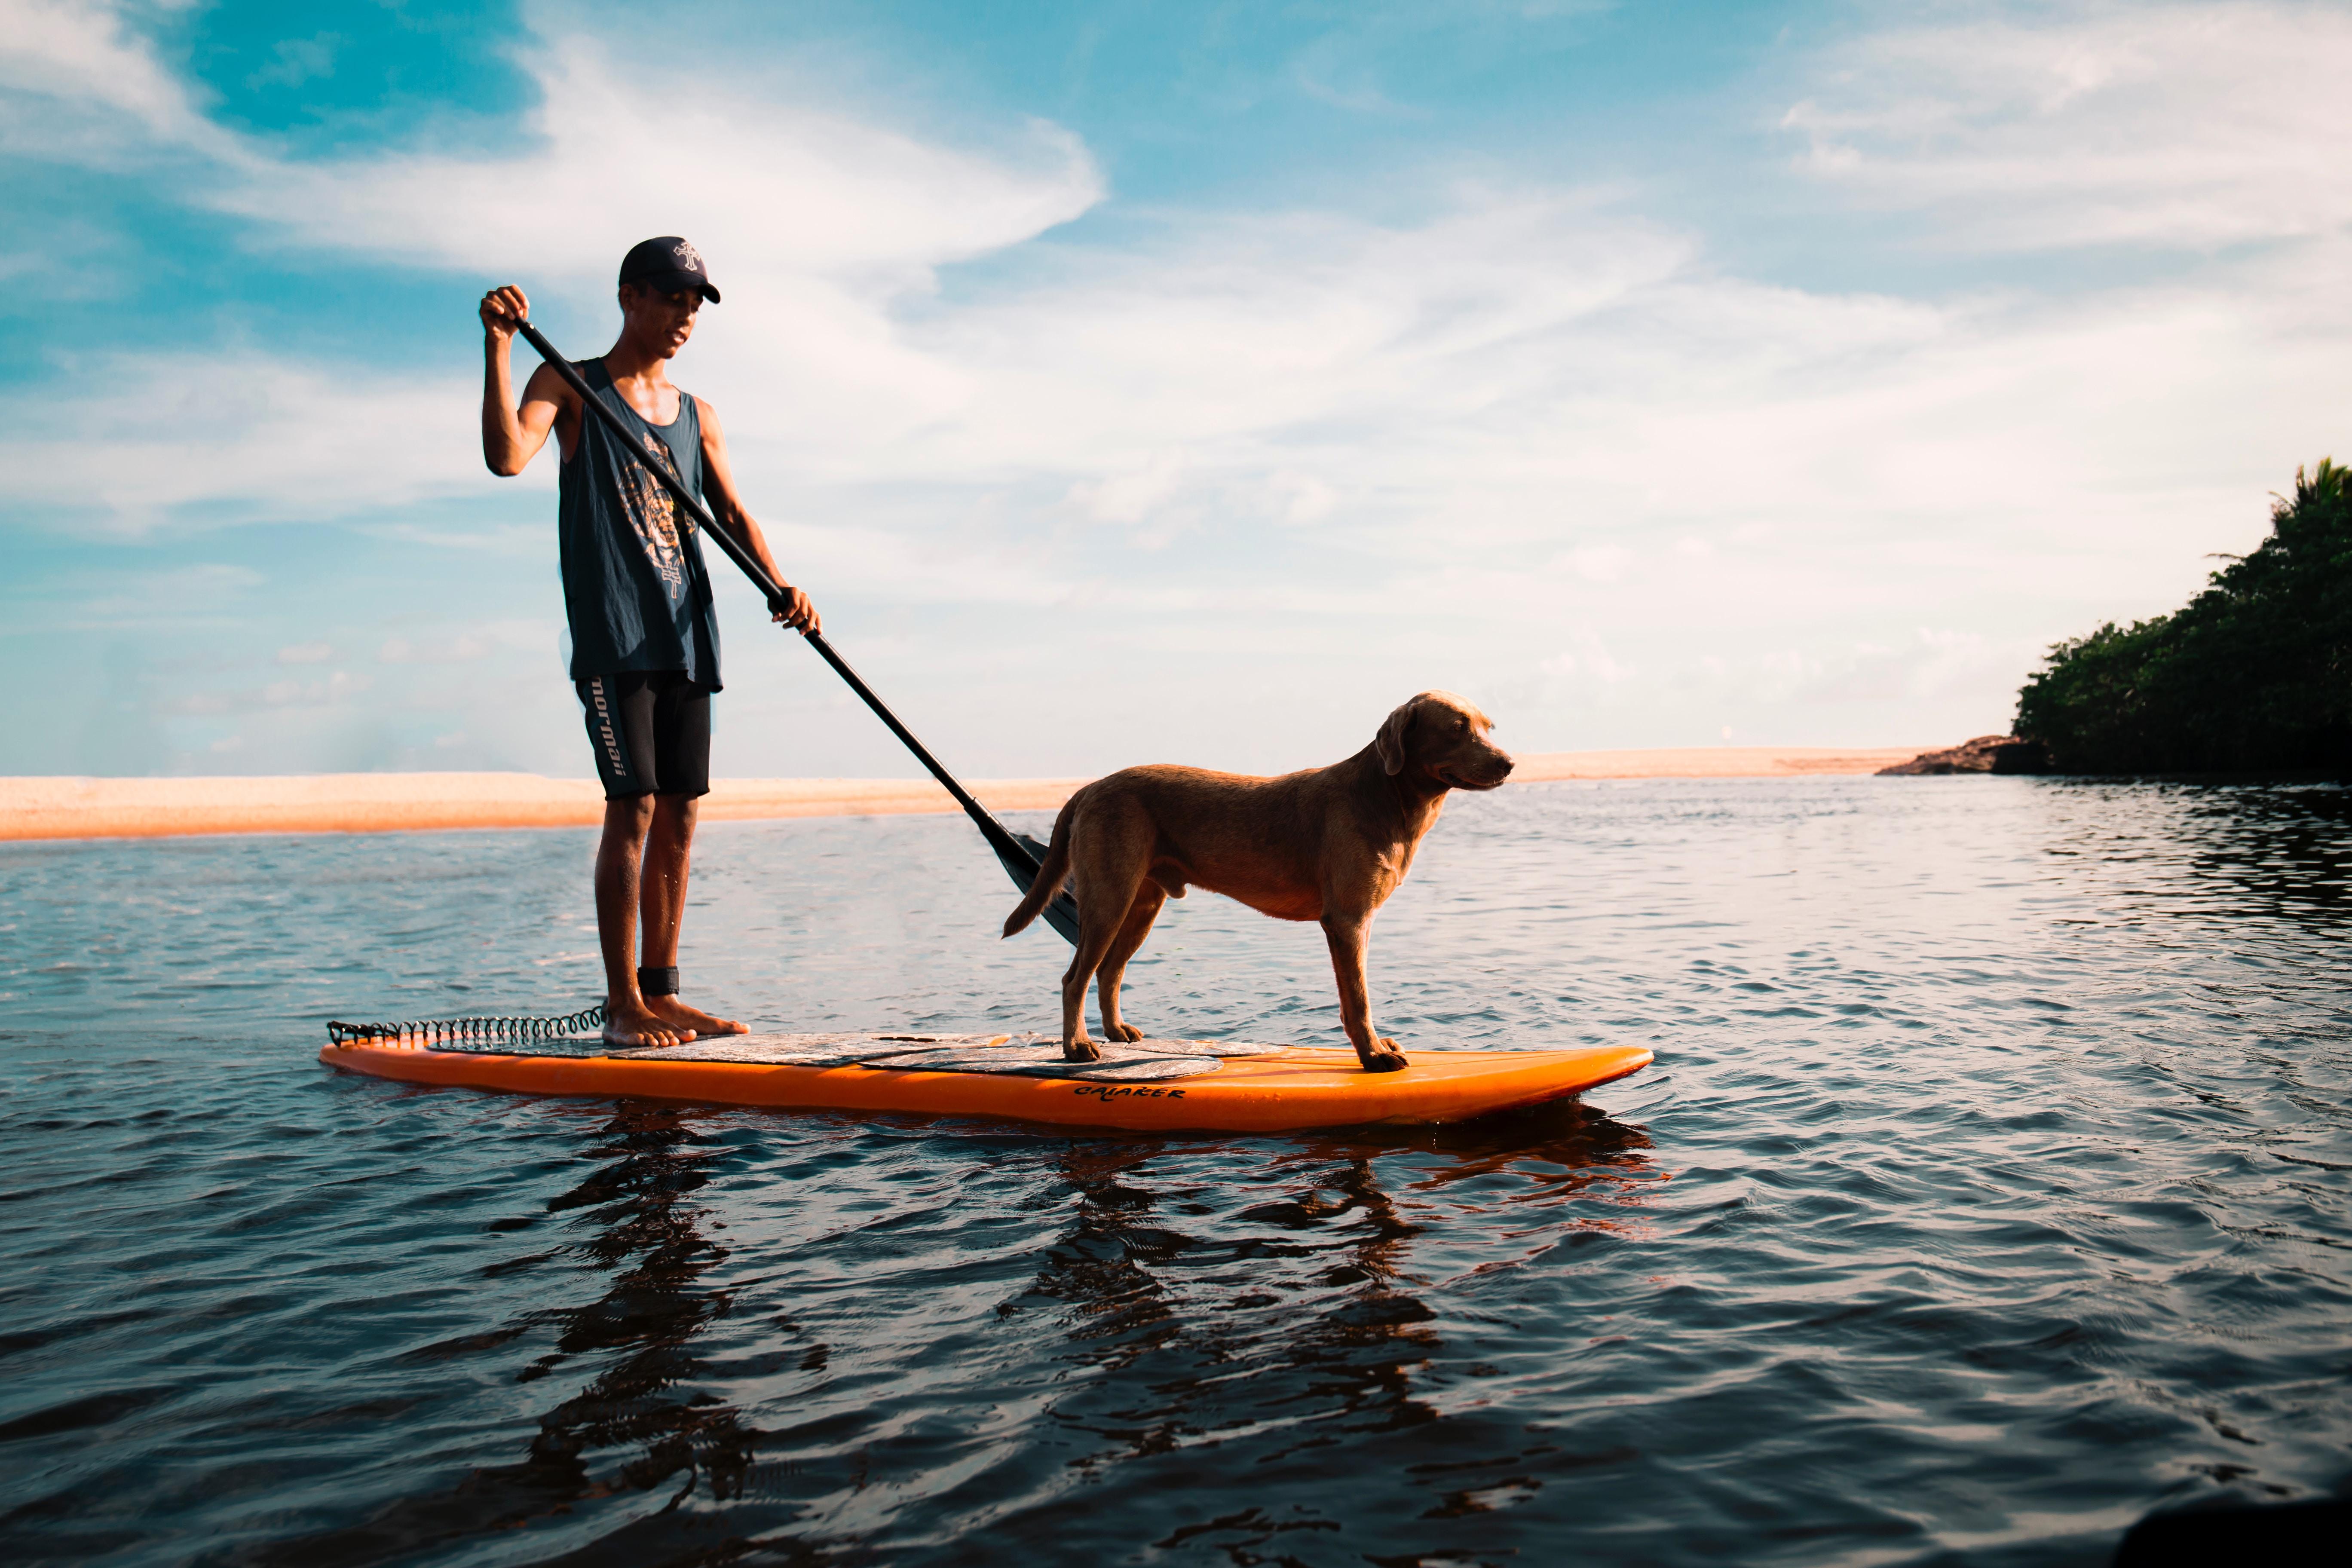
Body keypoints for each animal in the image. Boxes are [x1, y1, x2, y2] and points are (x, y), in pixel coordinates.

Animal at [1002, 691, 1514, 1072]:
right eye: (1457, 728)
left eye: (1487, 727)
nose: (1509, 763)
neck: (1386, 798)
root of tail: (1089, 788)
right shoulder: (1348, 919)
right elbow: (1358, 998)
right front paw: (1373, 1056)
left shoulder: (1359, 920)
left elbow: (1357, 995)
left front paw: (1377, 1048)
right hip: (1109, 896)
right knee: (1075, 977)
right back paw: (1077, 1047)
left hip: (1143, 902)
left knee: (1110, 970)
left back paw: (1116, 1033)